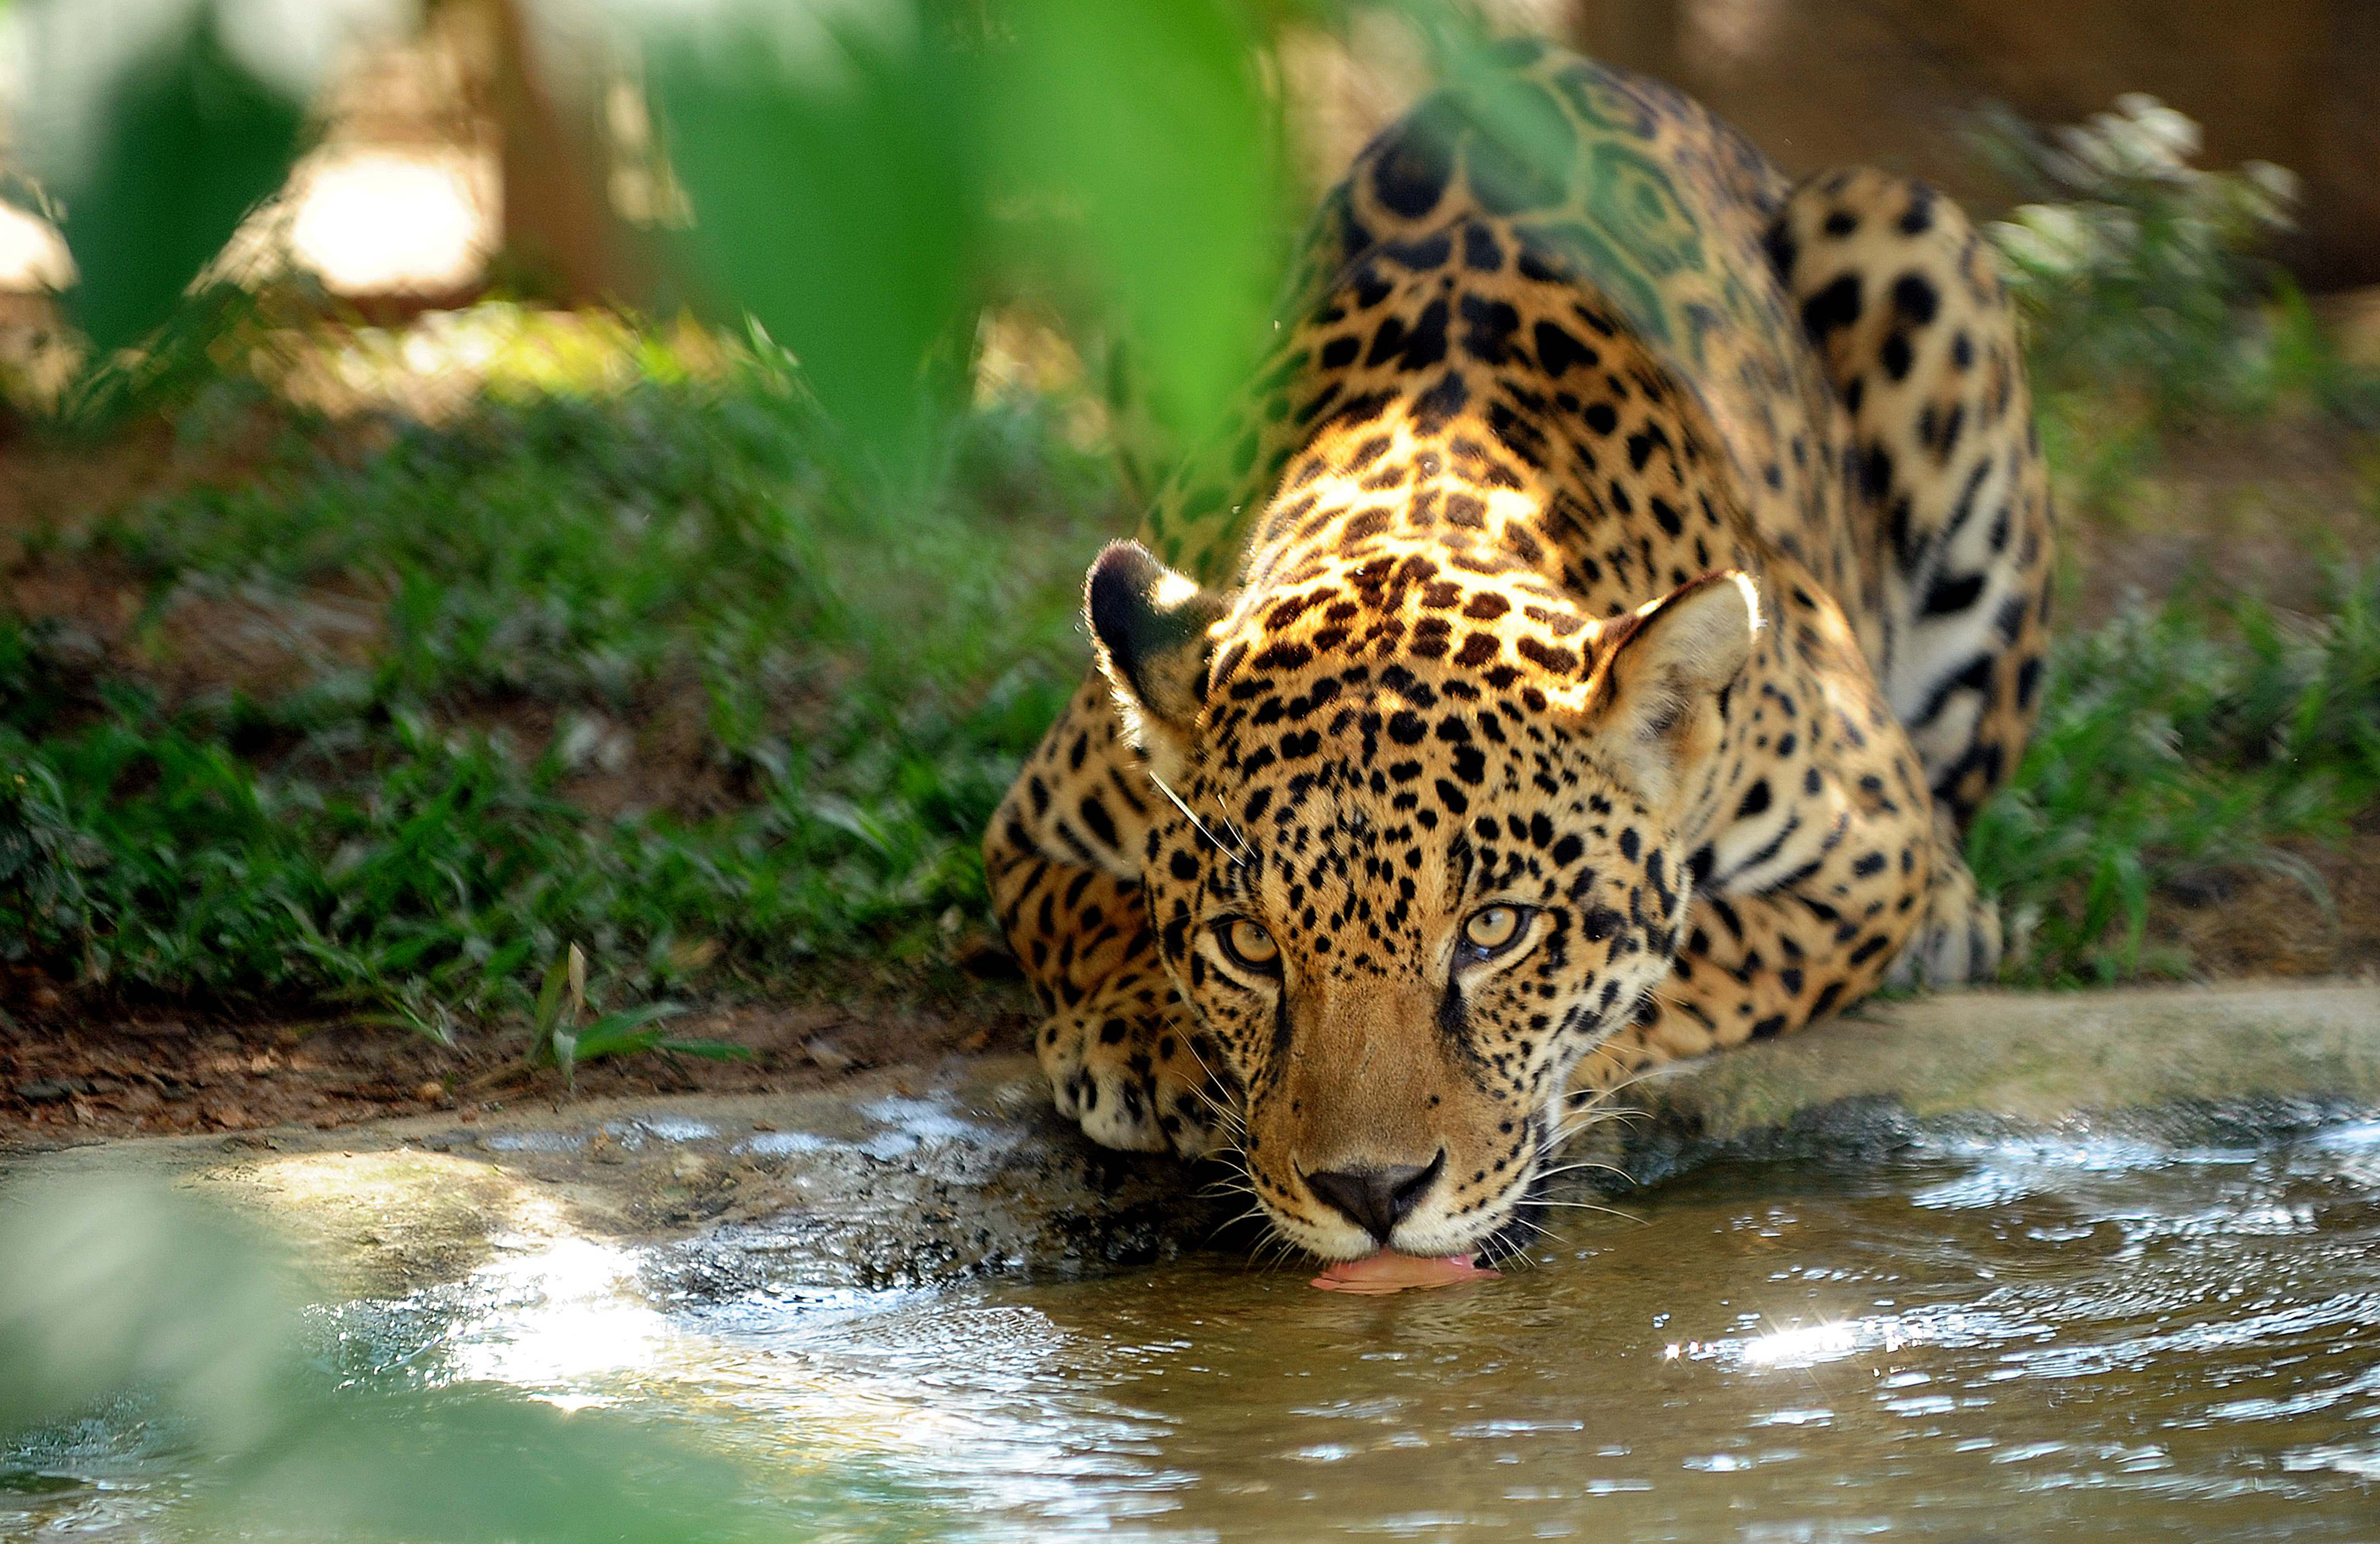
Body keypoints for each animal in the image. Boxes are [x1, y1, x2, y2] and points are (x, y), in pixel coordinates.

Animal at [982, 41, 2053, 1264]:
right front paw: (1145, 1035)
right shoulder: (1030, 826)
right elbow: (1084, 912)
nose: (1370, 1193)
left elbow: (1704, 956)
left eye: (1496, 930)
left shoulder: (1863, 852)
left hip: (1910, 240)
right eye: (1249, 944)